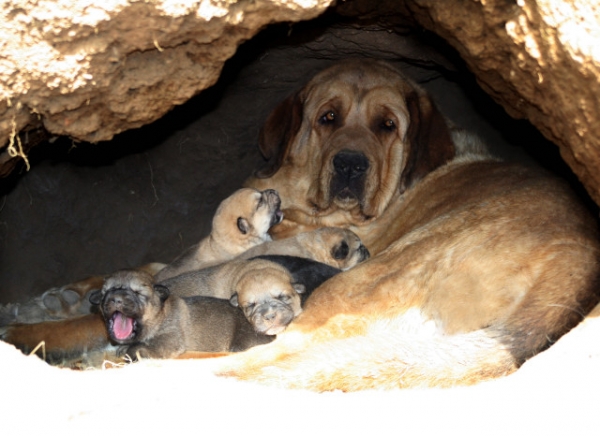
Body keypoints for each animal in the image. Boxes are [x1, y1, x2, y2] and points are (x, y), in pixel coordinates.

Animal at [88, 270, 272, 360]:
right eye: (106, 292)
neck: (159, 315)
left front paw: (130, 350)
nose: (116, 299)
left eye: (137, 293)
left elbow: (143, 346)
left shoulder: (169, 340)